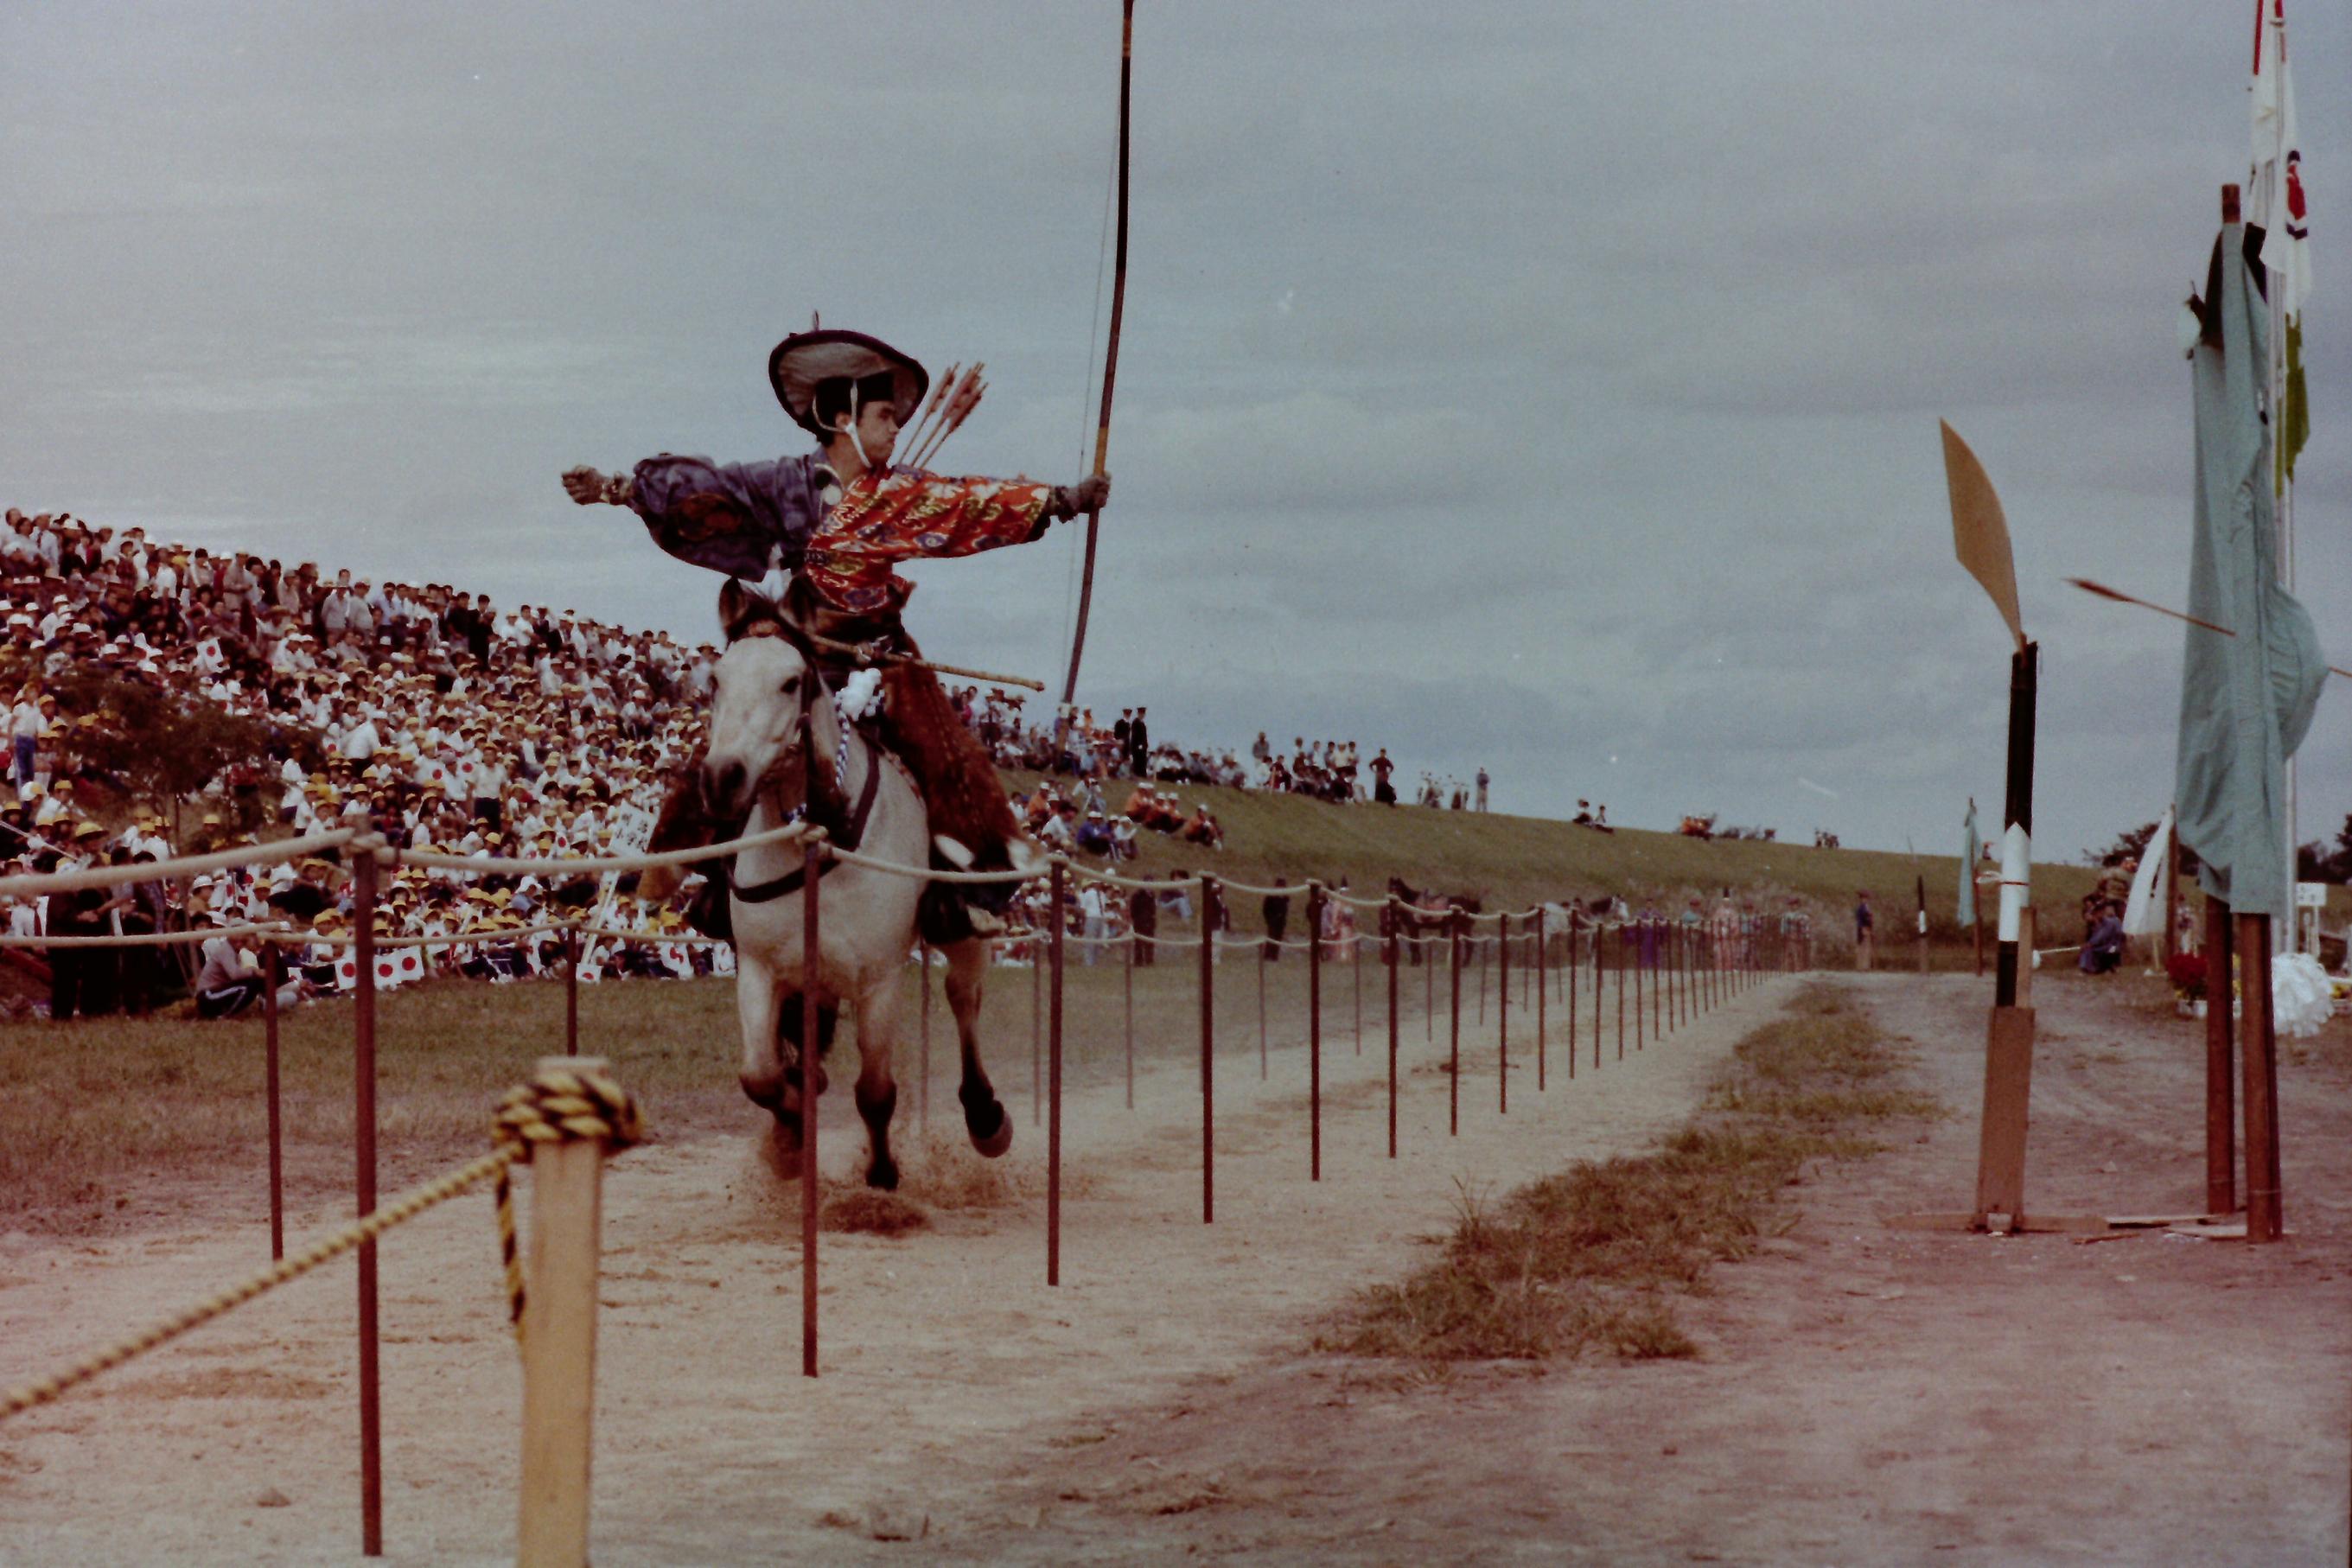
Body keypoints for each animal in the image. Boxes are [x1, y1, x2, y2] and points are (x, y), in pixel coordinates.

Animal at [696, 580, 1011, 1189]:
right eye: (717, 680)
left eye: (791, 681)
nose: (723, 779)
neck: (823, 837)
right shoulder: (762, 971)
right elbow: (761, 1077)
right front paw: (791, 1136)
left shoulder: (879, 980)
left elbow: (876, 1091)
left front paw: (883, 1170)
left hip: (964, 934)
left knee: (964, 997)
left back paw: (986, 1118)